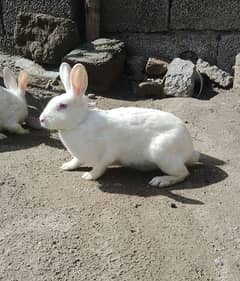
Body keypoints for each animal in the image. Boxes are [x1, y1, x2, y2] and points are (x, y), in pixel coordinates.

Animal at [39, 62, 199, 187]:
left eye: (62, 106)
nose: (41, 119)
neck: (81, 121)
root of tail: (189, 149)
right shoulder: (79, 155)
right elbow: (76, 161)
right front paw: (66, 166)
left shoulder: (106, 153)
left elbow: (99, 167)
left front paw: (88, 176)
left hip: (163, 153)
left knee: (183, 173)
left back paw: (160, 181)